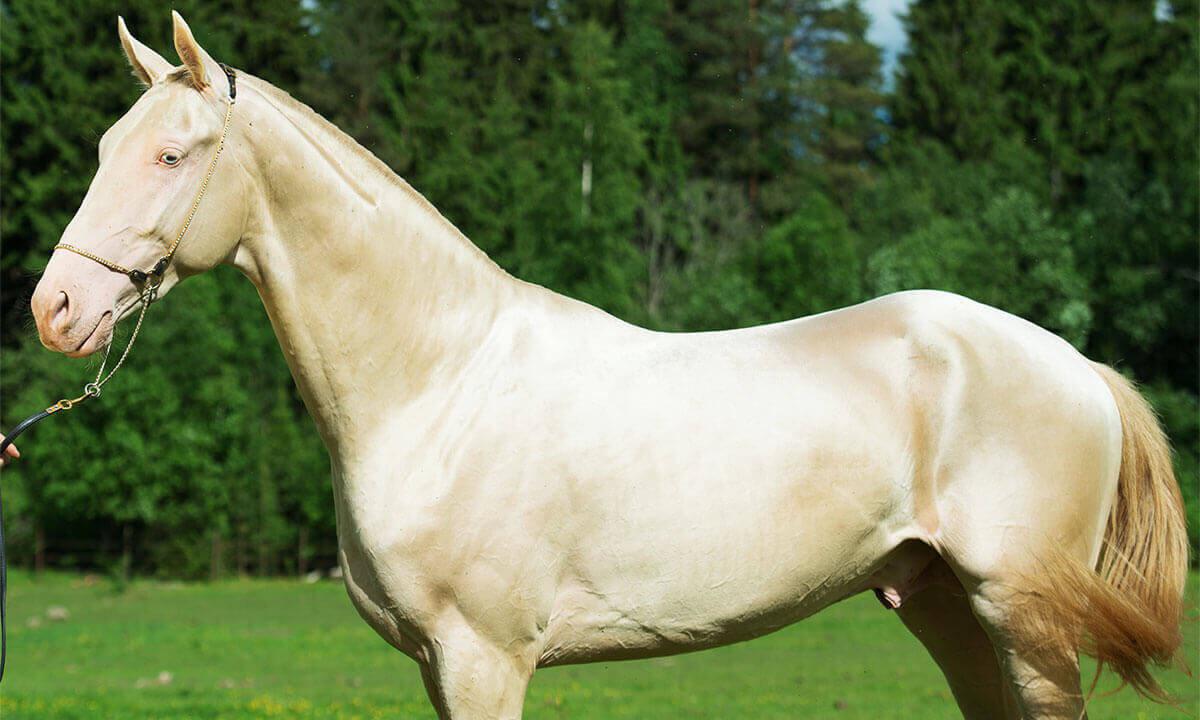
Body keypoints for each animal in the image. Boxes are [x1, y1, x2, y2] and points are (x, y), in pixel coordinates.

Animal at [26, 13, 1187, 719]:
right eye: (103, 148)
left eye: (171, 154)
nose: (56, 309)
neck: (438, 384)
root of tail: (1078, 366)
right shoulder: (436, 664)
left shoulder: (484, 657)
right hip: (945, 604)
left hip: (1023, 616)